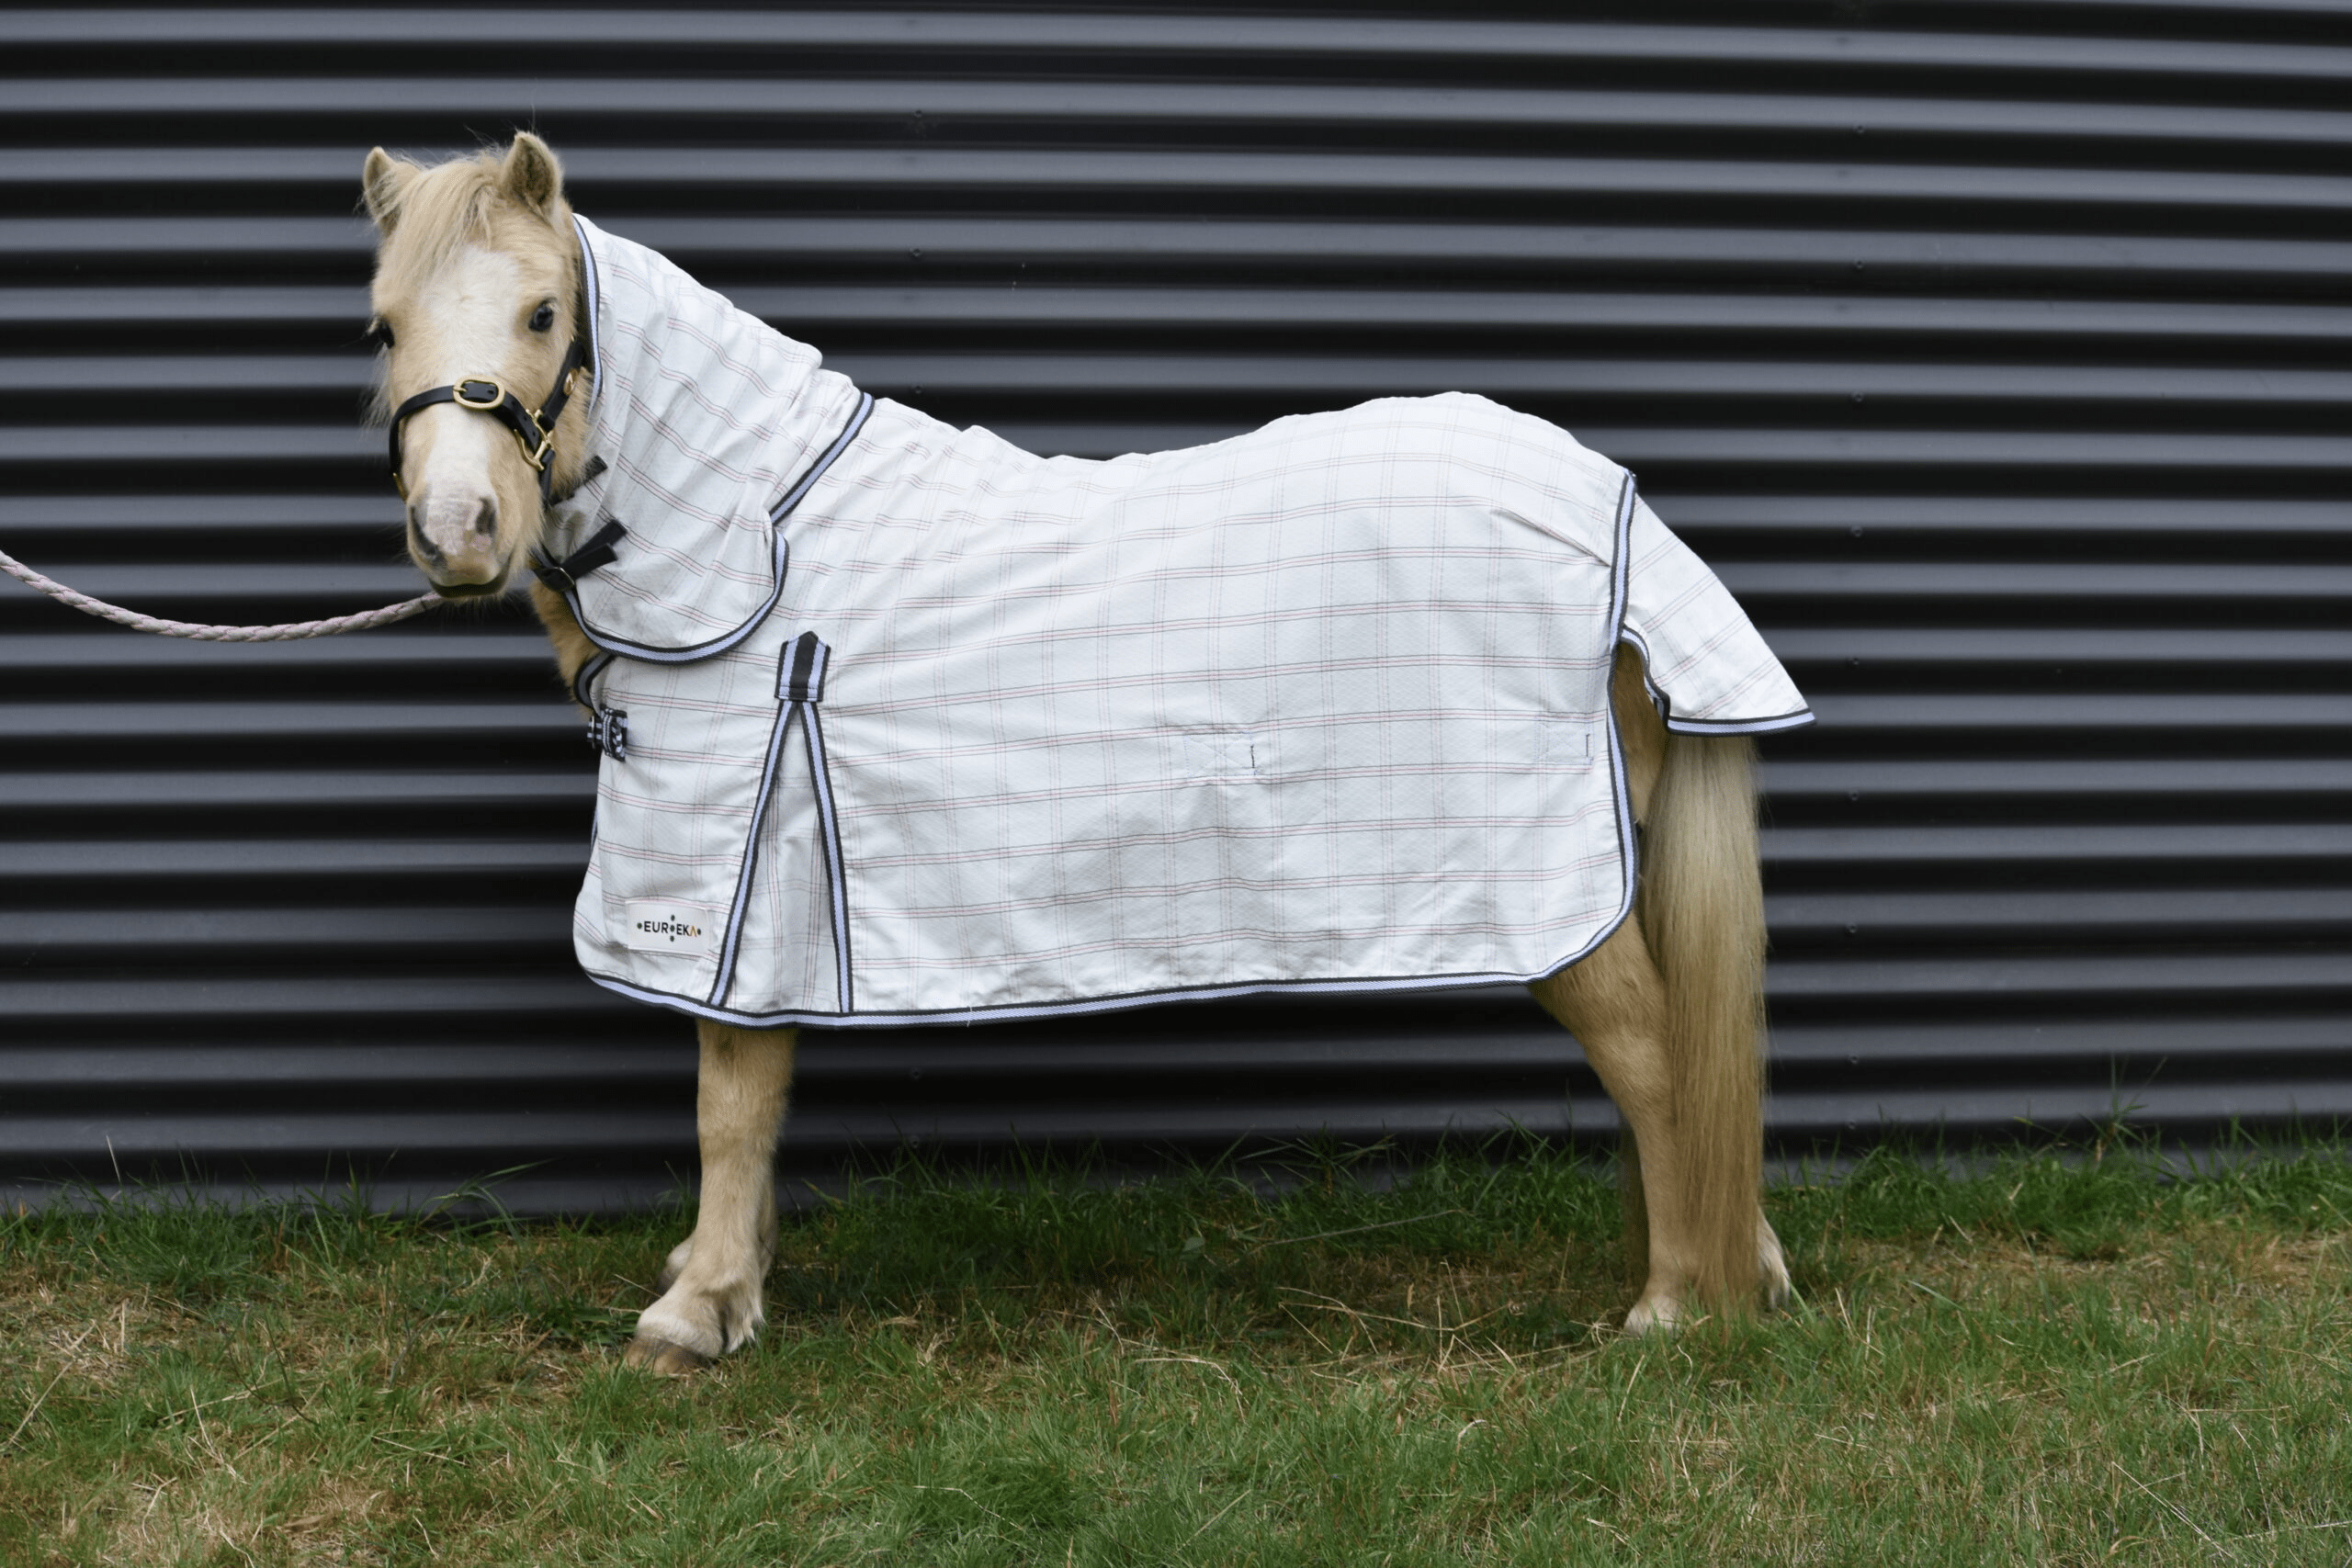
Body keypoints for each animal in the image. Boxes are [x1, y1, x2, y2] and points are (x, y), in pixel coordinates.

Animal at [363, 132, 1803, 1373]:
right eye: (382, 325)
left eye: (543, 313)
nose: (456, 530)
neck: (758, 542)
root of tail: (1610, 505)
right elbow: (752, 1104)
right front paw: (733, 1279)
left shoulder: (732, 874)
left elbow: (732, 1097)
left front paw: (695, 1311)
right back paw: (1740, 1268)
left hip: (1550, 892)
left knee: (1662, 1063)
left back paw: (1675, 1306)